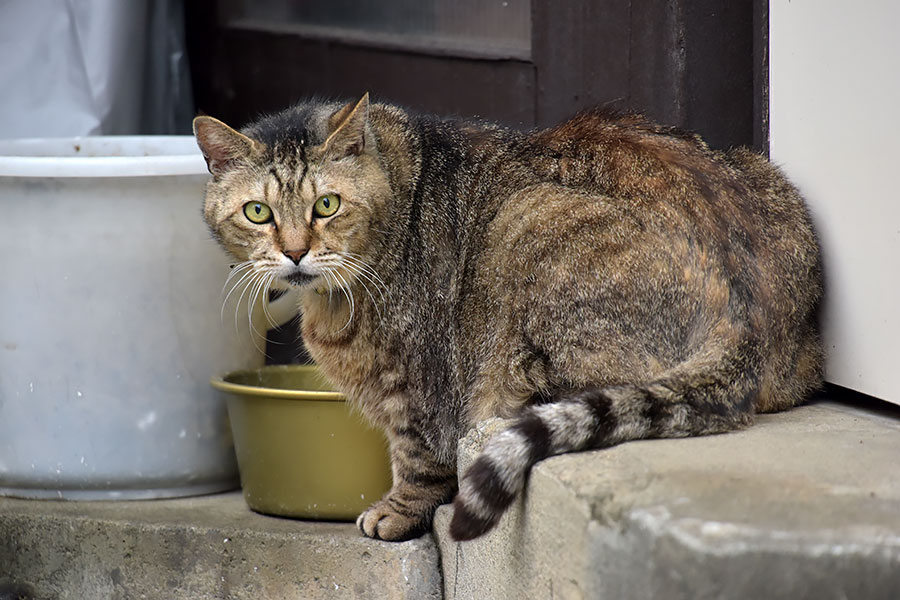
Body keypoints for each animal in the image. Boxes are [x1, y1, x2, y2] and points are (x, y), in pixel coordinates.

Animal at [195, 94, 824, 544]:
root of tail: (742, 306)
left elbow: (416, 455)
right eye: (258, 212)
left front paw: (397, 512)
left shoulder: (418, 384)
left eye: (326, 205)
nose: (296, 252)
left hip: (526, 220)